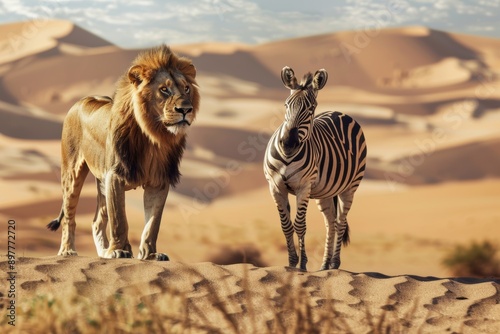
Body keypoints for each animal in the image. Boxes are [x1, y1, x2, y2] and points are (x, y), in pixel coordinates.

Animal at [47, 44, 199, 260]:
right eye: (164, 89)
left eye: (186, 88)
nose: (186, 109)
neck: (154, 137)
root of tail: (81, 101)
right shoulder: (115, 176)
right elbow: (119, 219)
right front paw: (119, 251)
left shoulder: (159, 181)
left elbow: (152, 224)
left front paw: (150, 255)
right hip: (72, 173)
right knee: (70, 215)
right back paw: (68, 251)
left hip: (101, 183)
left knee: (97, 221)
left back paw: (103, 253)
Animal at [264, 67, 366, 272]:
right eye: (286, 105)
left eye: (310, 109)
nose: (288, 144)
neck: (287, 157)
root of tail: (339, 112)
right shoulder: (275, 187)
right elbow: (285, 225)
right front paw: (291, 262)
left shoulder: (303, 187)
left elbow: (300, 225)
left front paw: (302, 264)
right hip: (325, 192)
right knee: (330, 223)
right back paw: (325, 265)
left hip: (350, 187)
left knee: (340, 222)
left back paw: (334, 263)